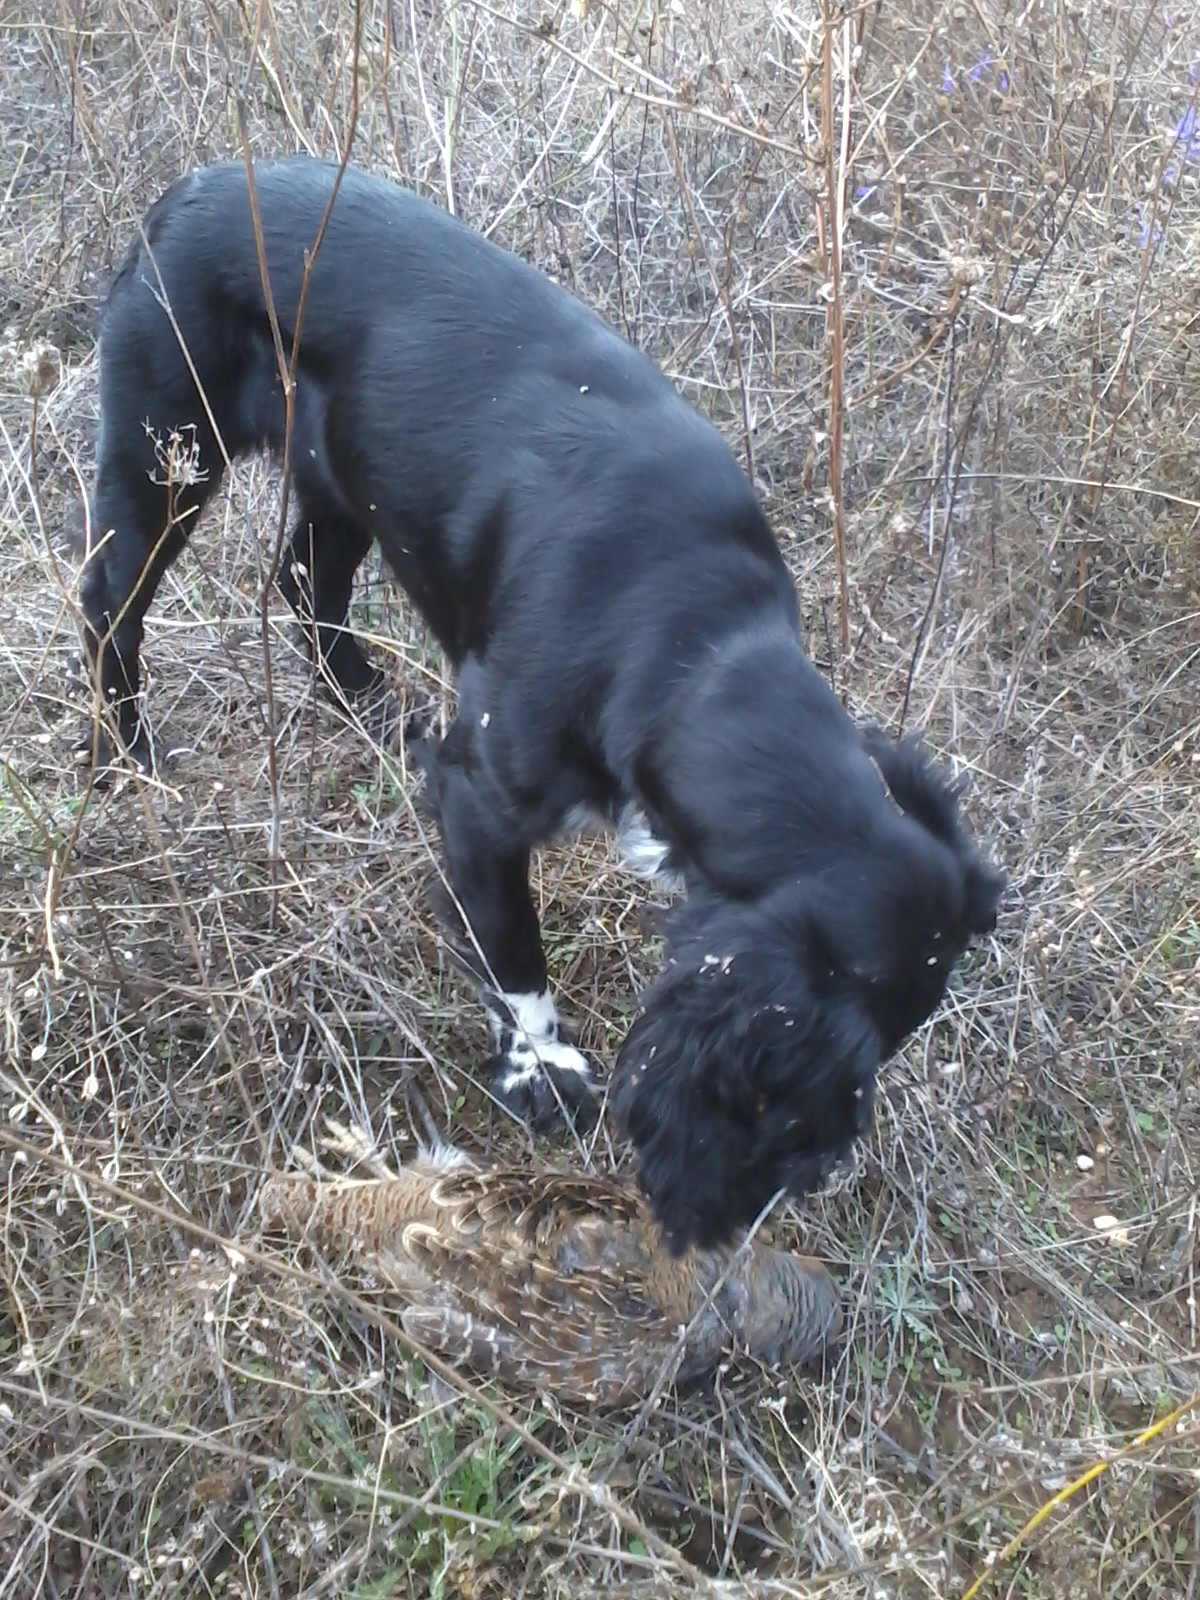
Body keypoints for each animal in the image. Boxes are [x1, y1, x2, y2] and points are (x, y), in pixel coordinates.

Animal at [75, 156, 1005, 1252]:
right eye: (794, 1113)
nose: (727, 1229)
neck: (695, 632)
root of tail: (194, 185)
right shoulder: (480, 796)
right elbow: (515, 949)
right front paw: (542, 1074)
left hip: (343, 474)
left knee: (306, 583)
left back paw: (367, 707)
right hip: (166, 451)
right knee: (110, 603)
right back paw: (123, 756)